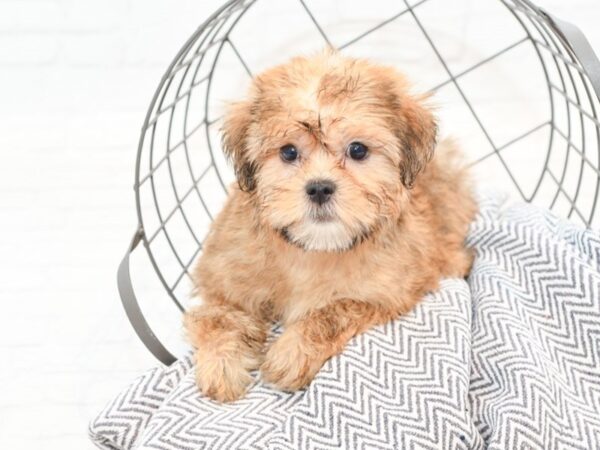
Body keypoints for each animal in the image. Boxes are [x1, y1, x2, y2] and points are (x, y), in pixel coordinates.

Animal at [185, 51, 476, 402]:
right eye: (288, 152)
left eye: (358, 150)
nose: (320, 188)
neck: (314, 248)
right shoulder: (223, 278)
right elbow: (218, 317)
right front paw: (221, 366)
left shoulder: (389, 293)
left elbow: (334, 311)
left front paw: (292, 352)